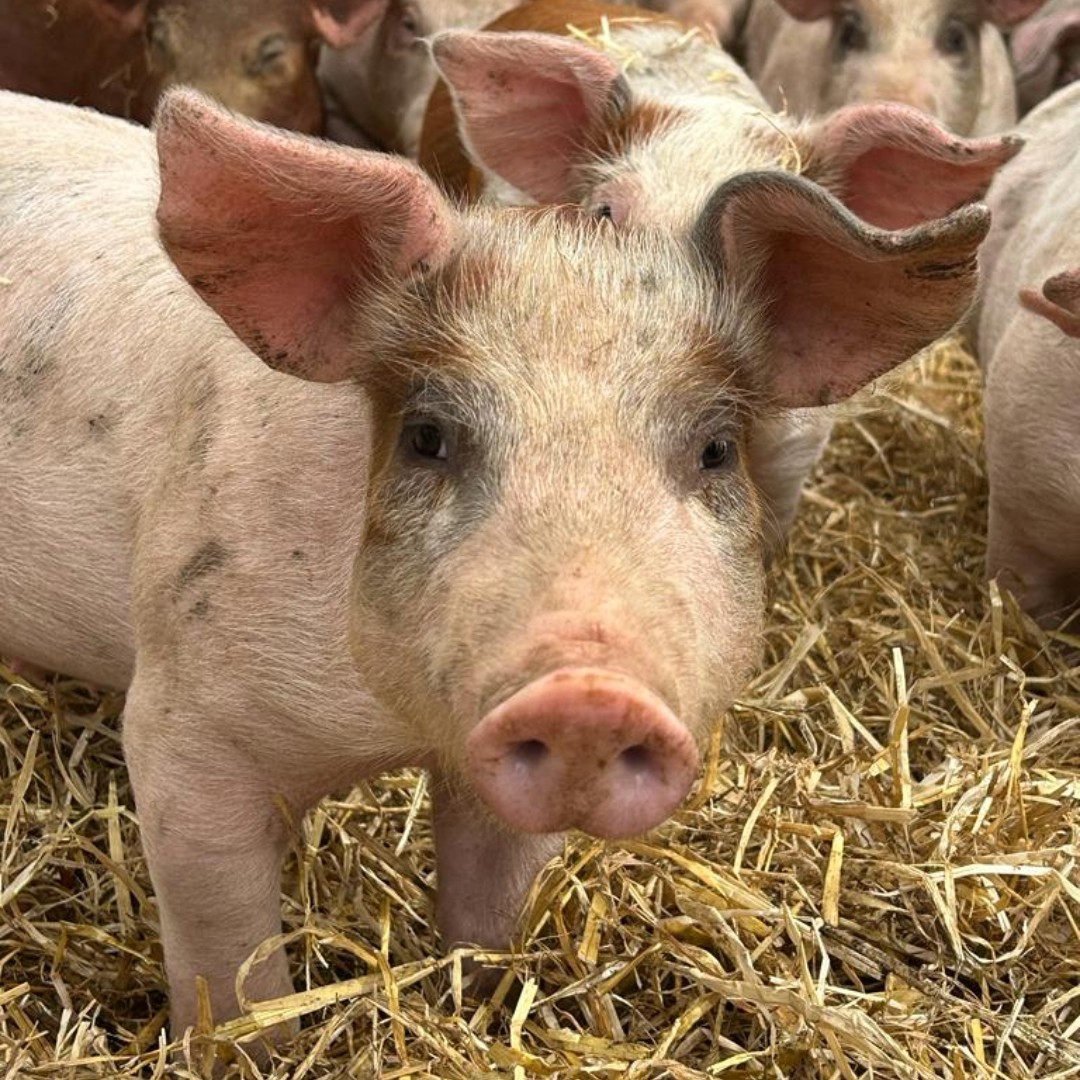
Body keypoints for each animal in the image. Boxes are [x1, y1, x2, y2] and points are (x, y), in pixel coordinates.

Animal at [0, 87, 988, 1041]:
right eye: (428, 436)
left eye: (715, 450)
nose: (588, 694)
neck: (400, 731)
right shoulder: (184, 721)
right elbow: (231, 966)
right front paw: (254, 1045)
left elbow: (490, 910)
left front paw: (478, 999)